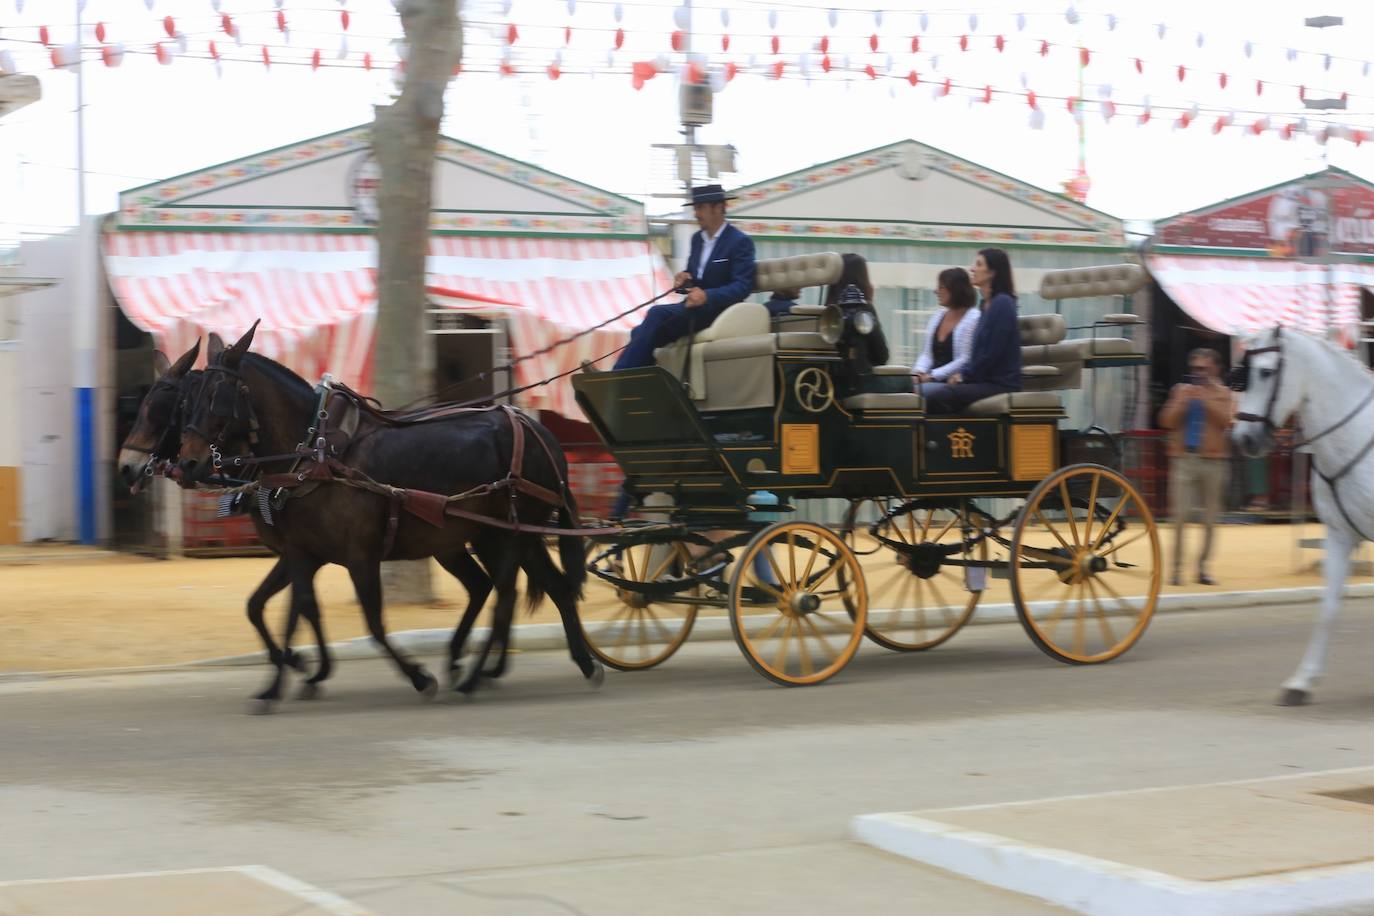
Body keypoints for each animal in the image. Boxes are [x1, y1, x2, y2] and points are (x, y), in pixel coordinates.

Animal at [1236, 325, 1374, 708]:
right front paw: (1301, 682)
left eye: (1266, 372)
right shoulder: (1339, 535)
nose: (1243, 438)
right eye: (1241, 374)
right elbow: (1328, 610)